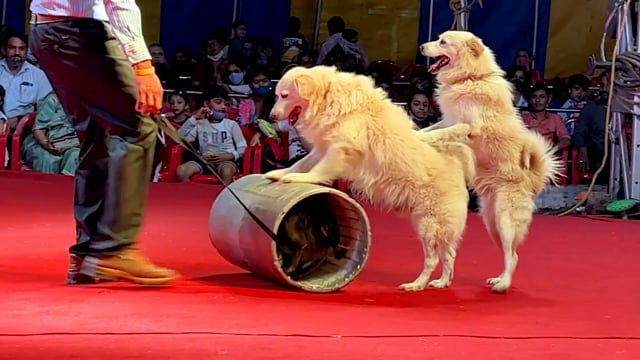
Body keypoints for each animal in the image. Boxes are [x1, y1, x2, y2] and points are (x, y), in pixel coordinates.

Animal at [262, 64, 478, 290]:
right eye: (276, 95)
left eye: (284, 95)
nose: (272, 116)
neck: (329, 97)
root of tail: (456, 165)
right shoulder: (322, 148)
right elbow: (300, 164)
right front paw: (281, 173)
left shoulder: (340, 150)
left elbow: (319, 171)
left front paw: (301, 179)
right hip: (440, 229)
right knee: (449, 255)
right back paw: (442, 282)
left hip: (429, 225)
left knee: (433, 259)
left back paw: (416, 284)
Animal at [420, 31, 564, 292]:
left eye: (443, 42)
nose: (422, 47)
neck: (470, 78)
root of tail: (532, 182)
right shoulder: (449, 120)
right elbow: (434, 128)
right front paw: (416, 132)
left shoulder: (467, 127)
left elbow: (441, 133)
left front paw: (421, 138)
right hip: (492, 223)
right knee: (510, 254)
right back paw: (495, 279)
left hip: (505, 222)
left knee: (513, 256)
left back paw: (503, 284)